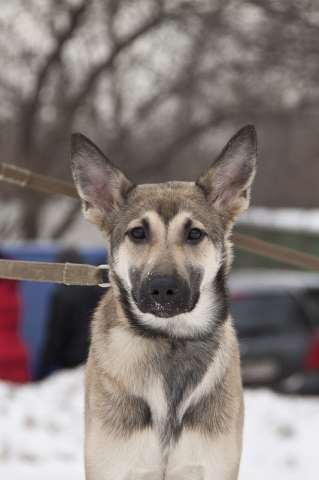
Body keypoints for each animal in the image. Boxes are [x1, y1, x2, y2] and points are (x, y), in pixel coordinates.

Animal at [70, 124, 258, 480]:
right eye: (138, 233)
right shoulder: (113, 465)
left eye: (195, 234)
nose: (163, 289)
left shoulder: (214, 465)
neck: (171, 339)